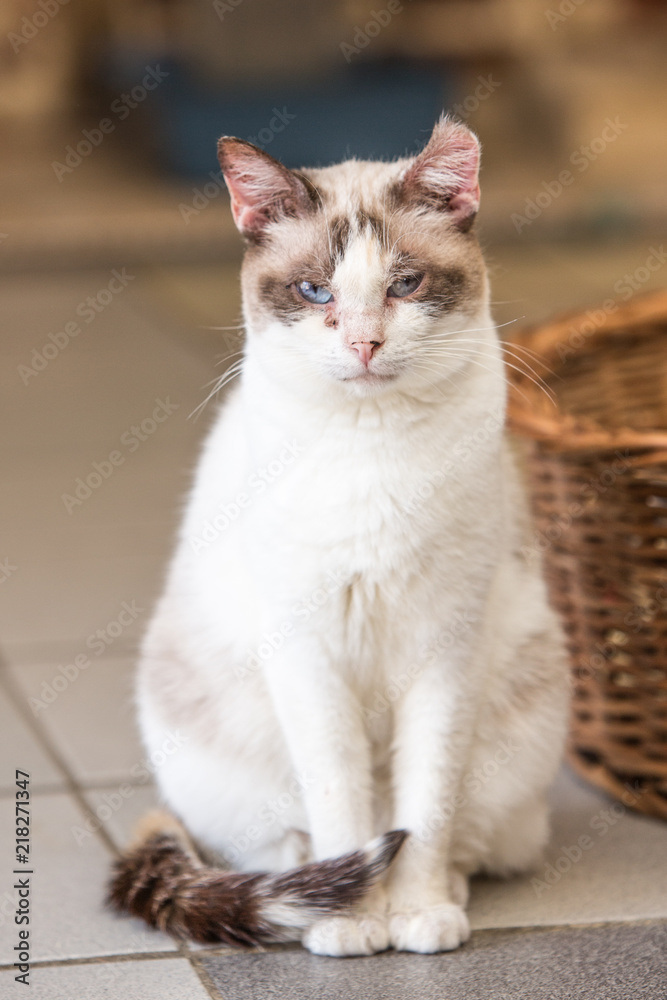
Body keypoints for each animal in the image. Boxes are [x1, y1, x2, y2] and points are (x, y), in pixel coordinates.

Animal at [108, 113, 568, 956]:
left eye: (405, 286)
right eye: (314, 291)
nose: (362, 343)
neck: (371, 445)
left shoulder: (444, 652)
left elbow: (425, 809)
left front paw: (417, 914)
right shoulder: (306, 654)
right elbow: (341, 805)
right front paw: (351, 924)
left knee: (466, 839)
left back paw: (434, 896)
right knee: (278, 848)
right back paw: (320, 896)